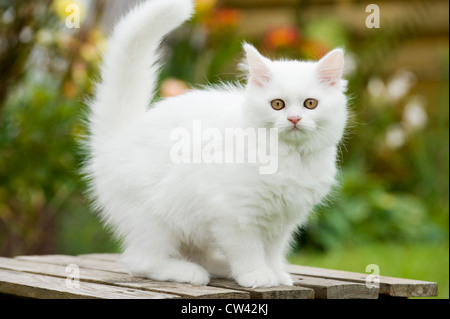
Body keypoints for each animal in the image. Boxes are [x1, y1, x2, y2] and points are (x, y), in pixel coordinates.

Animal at [83, 0, 348, 290]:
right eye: (277, 104)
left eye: (310, 103)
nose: (294, 119)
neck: (290, 156)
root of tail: (119, 137)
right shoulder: (233, 214)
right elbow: (248, 249)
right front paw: (256, 274)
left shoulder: (282, 220)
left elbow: (273, 251)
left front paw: (276, 273)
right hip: (155, 220)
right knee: (140, 262)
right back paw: (189, 272)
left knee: (191, 252)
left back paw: (219, 267)